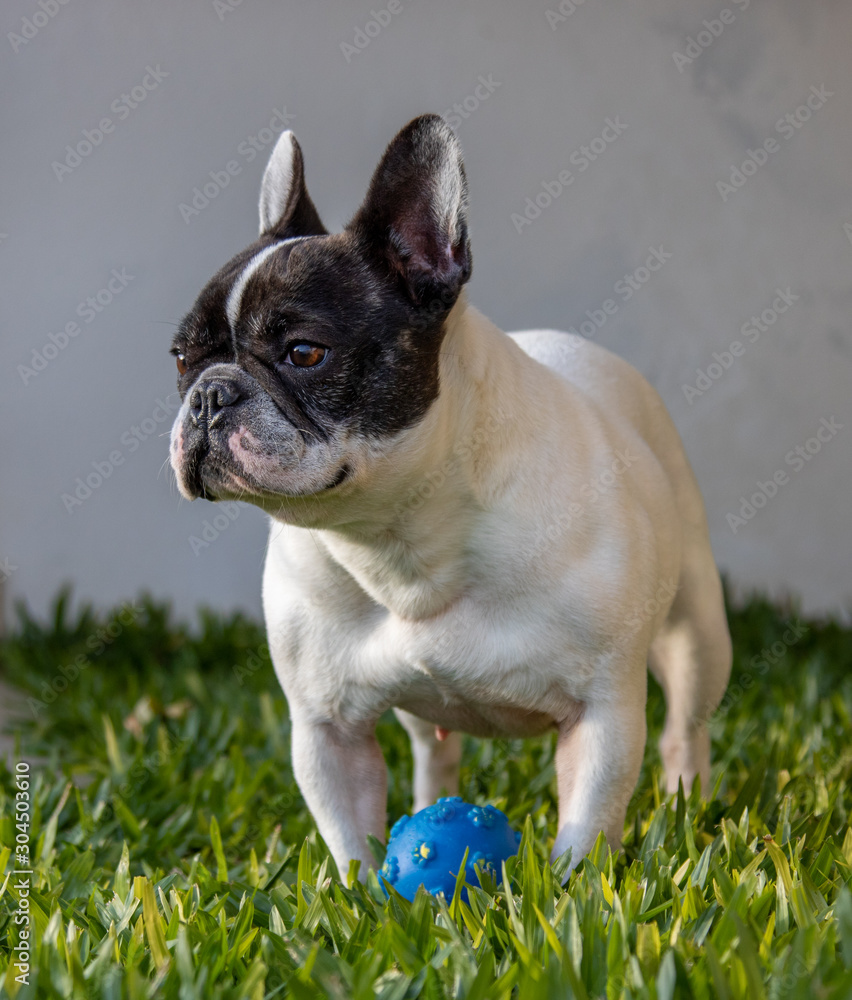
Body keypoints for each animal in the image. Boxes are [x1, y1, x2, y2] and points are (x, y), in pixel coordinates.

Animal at [168, 117, 732, 880]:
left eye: (305, 353)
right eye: (180, 358)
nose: (210, 395)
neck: (403, 536)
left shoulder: (603, 712)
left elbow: (585, 829)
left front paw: (572, 892)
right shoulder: (325, 728)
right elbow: (349, 837)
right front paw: (363, 897)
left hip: (698, 633)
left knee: (686, 726)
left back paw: (686, 803)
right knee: (434, 754)